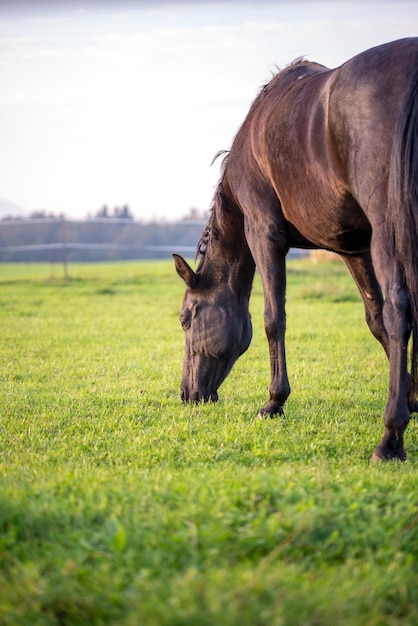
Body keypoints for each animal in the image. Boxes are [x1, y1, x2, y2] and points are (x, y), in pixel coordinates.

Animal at [173, 37, 418, 458]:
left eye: (186, 319)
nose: (188, 395)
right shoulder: (352, 247)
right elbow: (374, 321)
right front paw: (412, 396)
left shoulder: (264, 234)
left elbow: (274, 319)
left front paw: (274, 402)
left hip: (390, 229)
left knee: (400, 310)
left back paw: (389, 439)